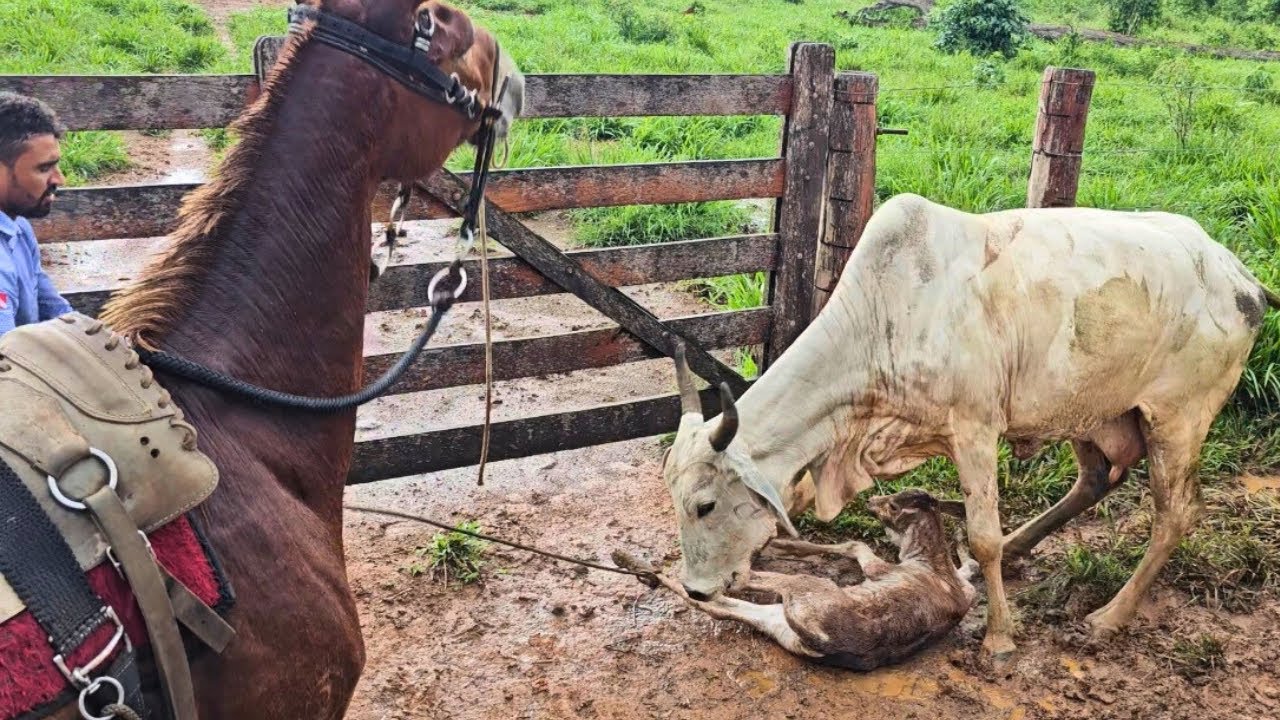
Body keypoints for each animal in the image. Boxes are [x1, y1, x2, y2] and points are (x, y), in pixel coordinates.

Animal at [662, 193, 1279, 657]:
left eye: (706, 505)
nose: (695, 590)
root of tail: (1241, 277)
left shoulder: (975, 430)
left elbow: (980, 537)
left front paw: (999, 639)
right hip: (1088, 411)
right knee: (1094, 481)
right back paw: (1021, 545)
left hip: (1178, 420)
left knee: (1176, 514)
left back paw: (1108, 616)